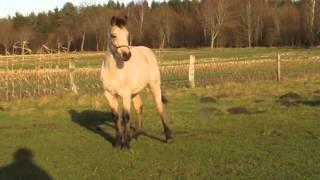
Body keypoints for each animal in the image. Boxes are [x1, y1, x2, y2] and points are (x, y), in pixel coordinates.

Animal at [101, 15, 174, 148]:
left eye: (127, 34)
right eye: (113, 35)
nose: (126, 55)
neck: (114, 72)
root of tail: (148, 51)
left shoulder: (125, 95)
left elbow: (126, 116)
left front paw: (126, 144)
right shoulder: (109, 95)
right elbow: (116, 117)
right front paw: (118, 142)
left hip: (154, 86)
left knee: (159, 107)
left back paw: (168, 137)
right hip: (135, 92)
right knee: (139, 107)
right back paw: (136, 135)